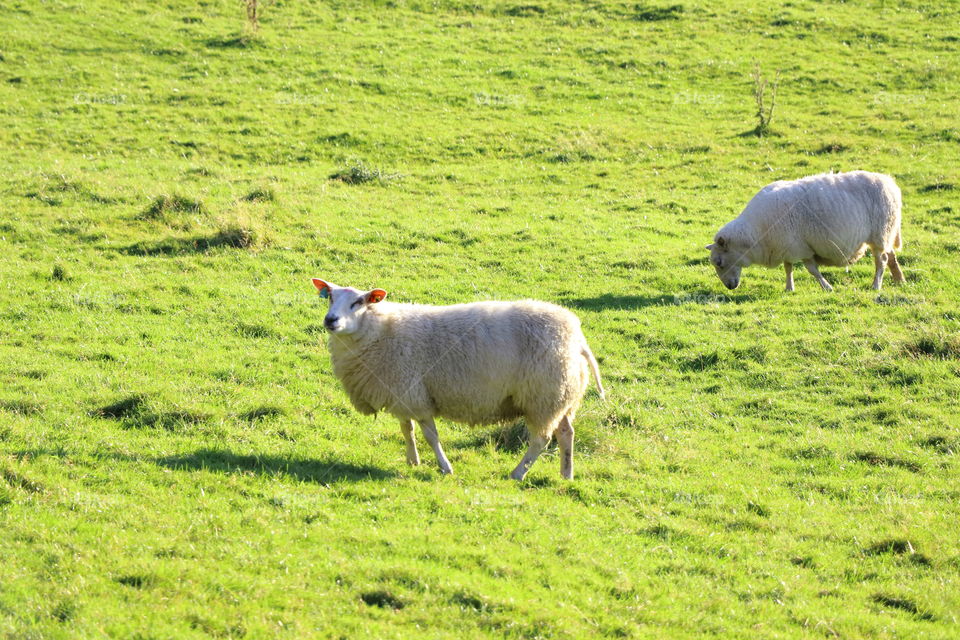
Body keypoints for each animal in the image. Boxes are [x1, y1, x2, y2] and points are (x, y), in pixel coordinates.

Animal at [311, 279, 605, 480]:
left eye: (358, 302)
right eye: (330, 298)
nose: (330, 320)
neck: (380, 331)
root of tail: (576, 338)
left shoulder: (415, 394)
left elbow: (431, 436)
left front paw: (444, 467)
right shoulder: (400, 392)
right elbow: (407, 430)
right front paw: (413, 461)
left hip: (544, 396)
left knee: (541, 440)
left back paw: (518, 473)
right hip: (563, 397)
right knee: (566, 433)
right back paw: (566, 474)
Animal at [706, 171, 904, 292]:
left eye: (719, 262)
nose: (730, 287)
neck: (754, 233)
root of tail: (890, 183)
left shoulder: (801, 248)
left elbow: (812, 270)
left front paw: (827, 287)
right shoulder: (786, 247)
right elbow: (788, 268)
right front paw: (789, 288)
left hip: (879, 233)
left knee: (882, 260)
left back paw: (876, 285)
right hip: (887, 232)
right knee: (891, 255)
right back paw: (899, 280)